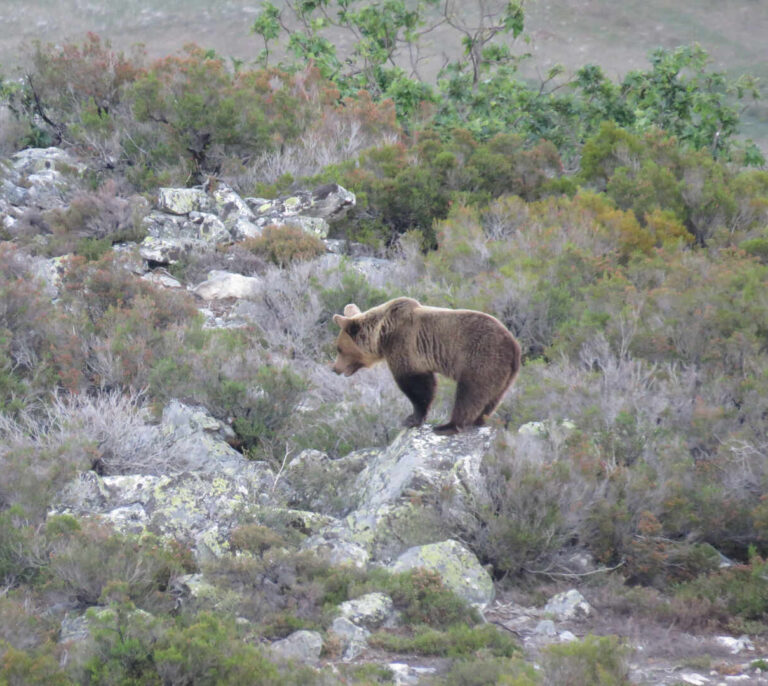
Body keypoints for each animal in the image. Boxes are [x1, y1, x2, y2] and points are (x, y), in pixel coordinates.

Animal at [331, 297, 521, 435]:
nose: (335, 368)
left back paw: (448, 426)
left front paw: (412, 418)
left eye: (339, 348)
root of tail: (514, 345)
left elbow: (417, 385)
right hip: (505, 375)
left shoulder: (404, 345)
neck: (382, 334)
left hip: (482, 358)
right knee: (492, 398)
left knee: (470, 393)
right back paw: (478, 420)